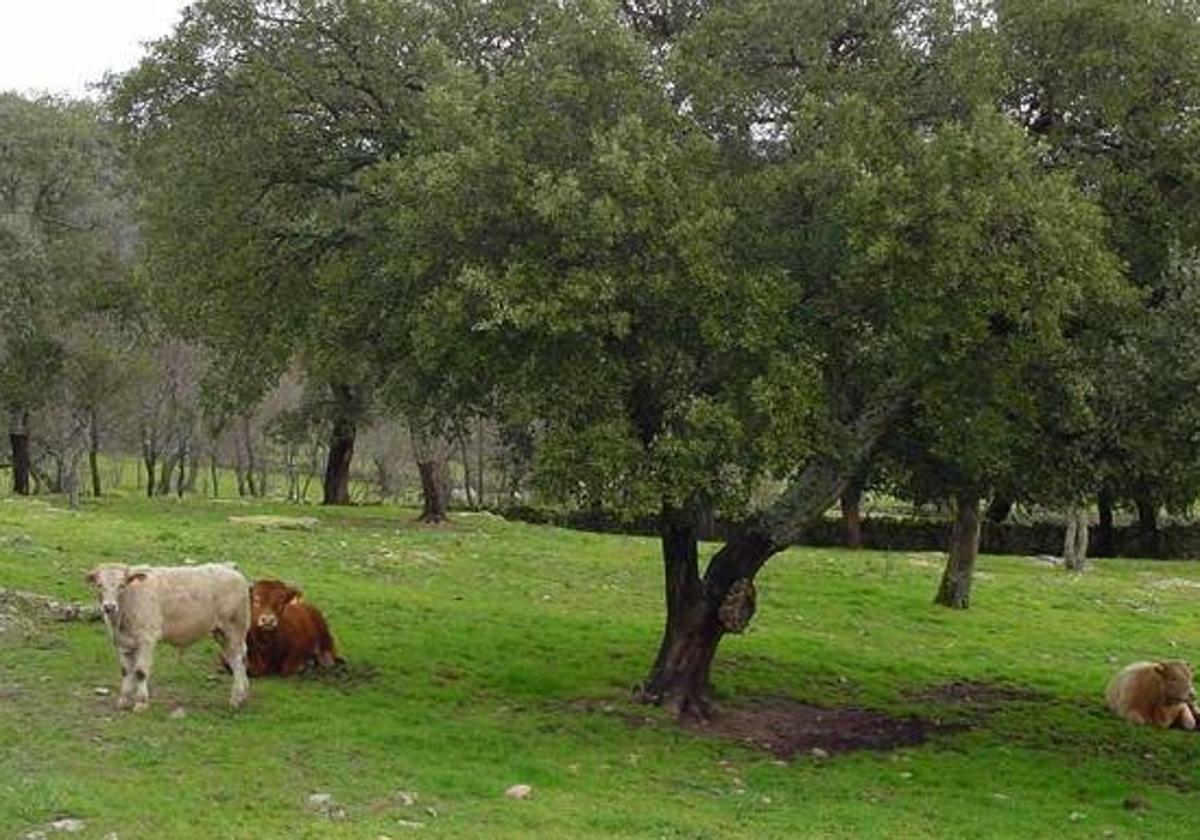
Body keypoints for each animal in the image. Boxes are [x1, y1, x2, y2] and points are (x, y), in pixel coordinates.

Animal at [84, 561, 250, 710]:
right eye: (99, 585)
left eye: (122, 585)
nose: (109, 607)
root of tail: (231, 569)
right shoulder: (123, 643)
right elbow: (126, 671)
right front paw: (123, 700)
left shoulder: (147, 639)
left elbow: (140, 671)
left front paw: (141, 703)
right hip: (221, 633)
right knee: (237, 658)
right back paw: (243, 694)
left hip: (234, 628)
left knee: (237, 660)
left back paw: (236, 699)